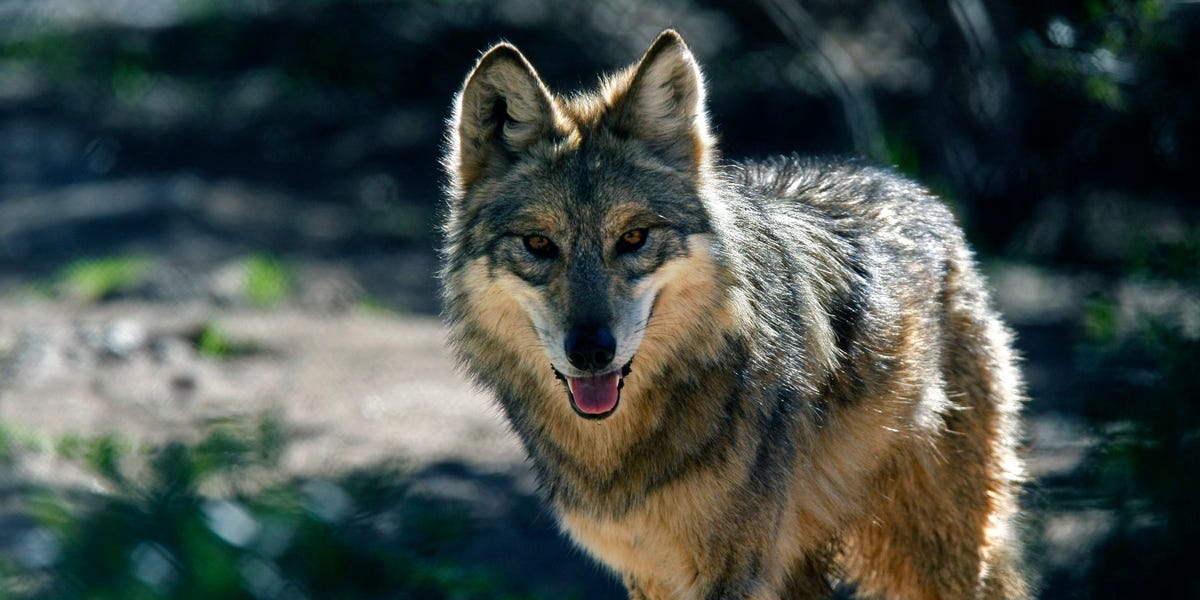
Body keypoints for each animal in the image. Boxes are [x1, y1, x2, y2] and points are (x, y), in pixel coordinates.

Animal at [440, 29, 1029, 599]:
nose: (590, 352)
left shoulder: (733, 571)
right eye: (538, 244)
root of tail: (910, 185)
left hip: (939, 555)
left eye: (633, 238)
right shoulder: (648, 573)